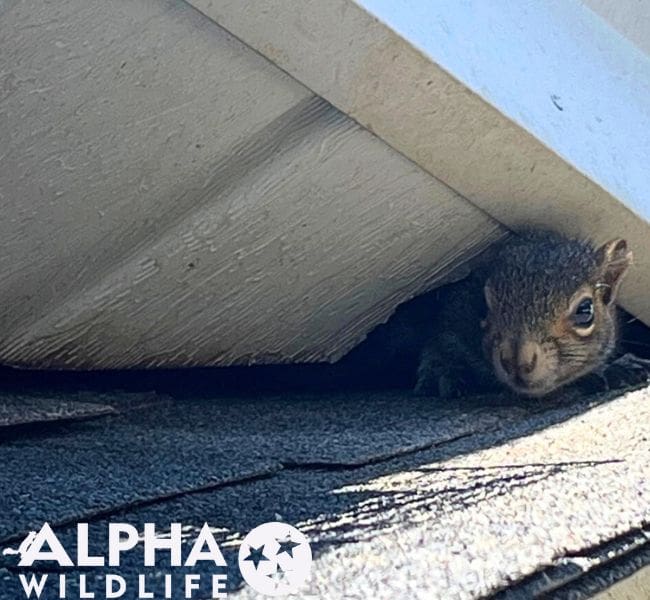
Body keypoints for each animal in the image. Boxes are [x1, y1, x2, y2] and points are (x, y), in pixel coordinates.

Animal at [412, 229, 637, 398]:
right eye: (480, 304)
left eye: (585, 310)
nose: (517, 360)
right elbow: (439, 343)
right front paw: (442, 372)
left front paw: (613, 370)